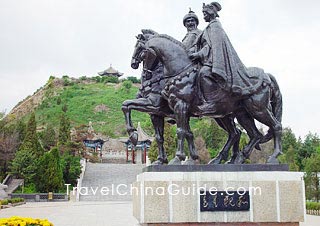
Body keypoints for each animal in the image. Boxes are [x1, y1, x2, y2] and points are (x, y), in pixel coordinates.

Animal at [129, 30, 282, 164]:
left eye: (141, 50)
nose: (135, 65)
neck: (179, 69)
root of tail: (267, 76)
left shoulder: (174, 106)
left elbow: (181, 131)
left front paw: (178, 157)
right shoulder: (158, 112)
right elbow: (167, 135)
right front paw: (169, 159)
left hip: (257, 109)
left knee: (274, 127)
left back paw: (272, 157)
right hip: (234, 114)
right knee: (245, 134)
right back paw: (230, 159)